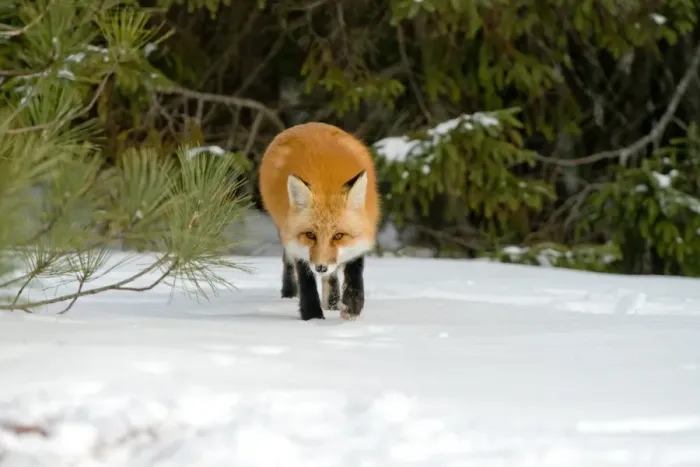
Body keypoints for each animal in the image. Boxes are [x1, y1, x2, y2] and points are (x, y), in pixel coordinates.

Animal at [258, 122, 380, 321]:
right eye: (310, 235)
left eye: (338, 236)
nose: (321, 267)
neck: (326, 181)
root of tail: (307, 124)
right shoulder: (297, 244)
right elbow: (306, 281)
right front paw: (312, 317)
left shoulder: (362, 231)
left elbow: (354, 271)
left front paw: (352, 306)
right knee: (289, 263)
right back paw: (289, 294)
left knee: (332, 277)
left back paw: (332, 302)